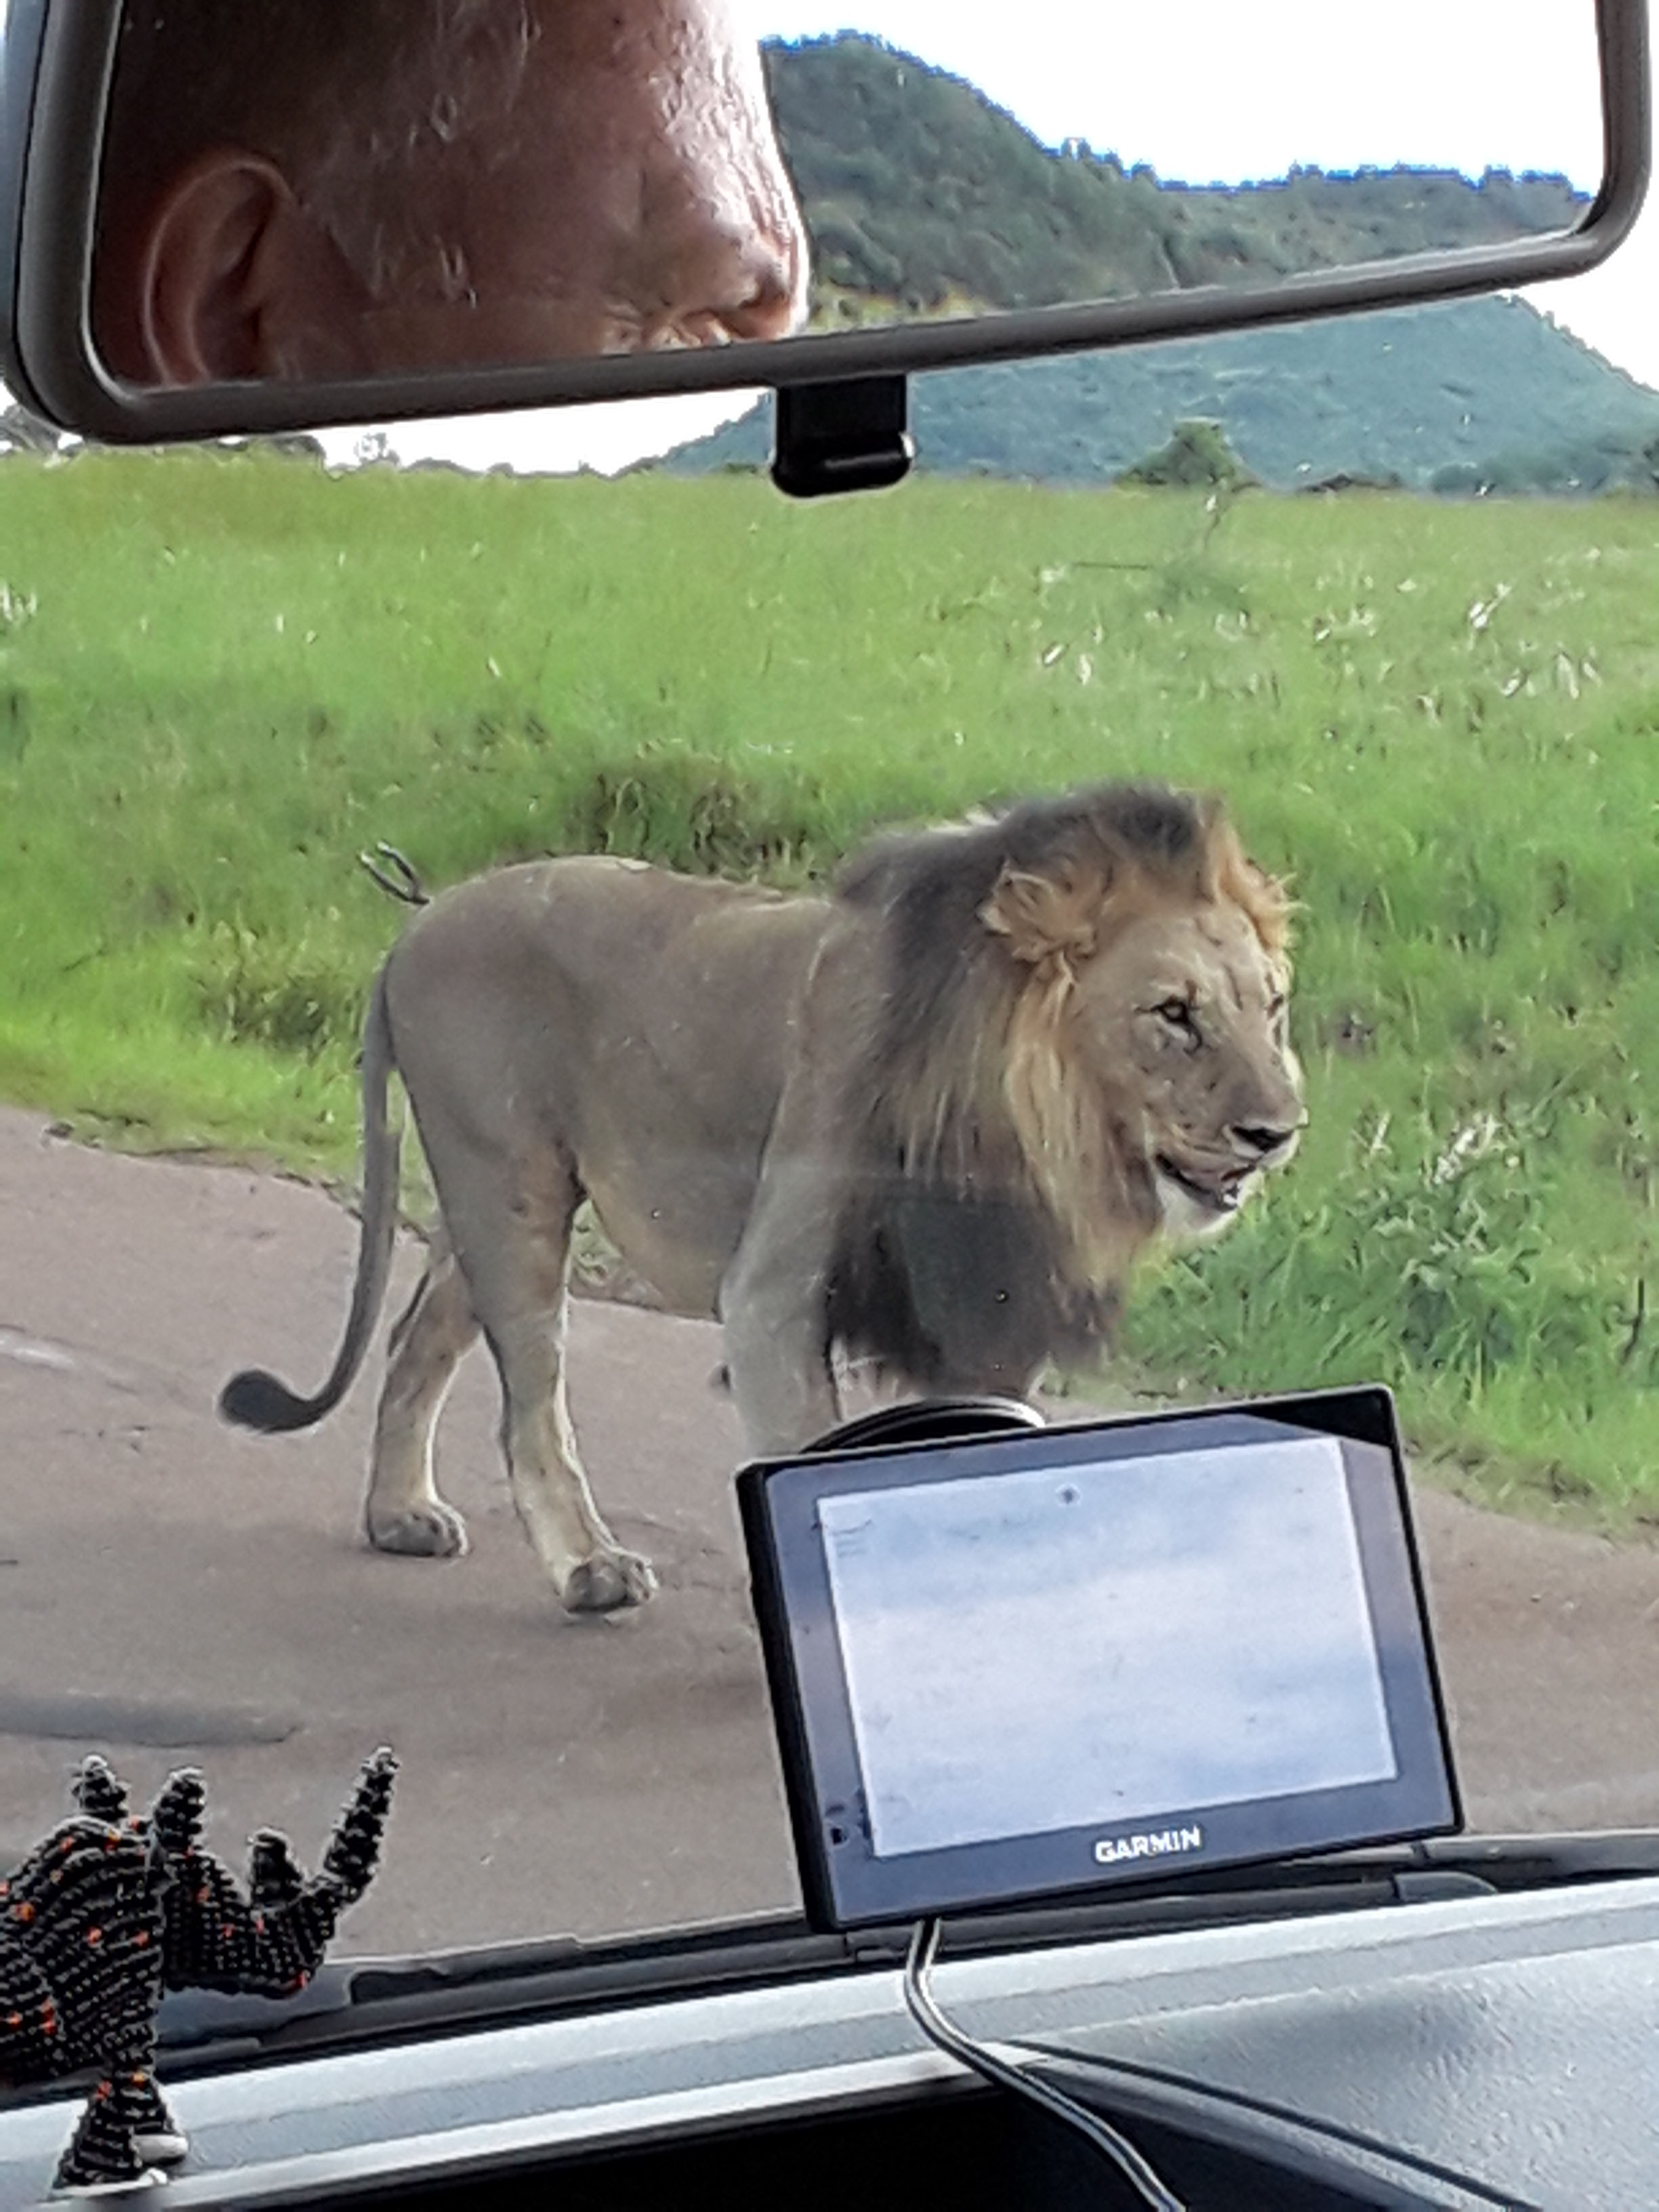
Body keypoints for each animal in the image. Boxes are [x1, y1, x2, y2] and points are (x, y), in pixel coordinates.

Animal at [220, 782, 1303, 1615]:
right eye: (1174, 1015)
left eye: (1272, 1006)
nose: (1280, 1129)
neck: (1023, 1126)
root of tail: (418, 923)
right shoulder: (776, 1290)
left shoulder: (990, 1305)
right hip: (505, 1185)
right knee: (528, 1404)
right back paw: (589, 1569)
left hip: (498, 1195)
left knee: (416, 1337)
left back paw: (397, 1515)